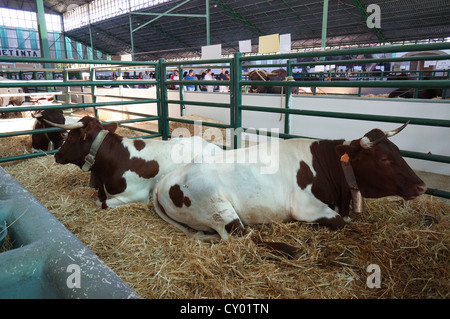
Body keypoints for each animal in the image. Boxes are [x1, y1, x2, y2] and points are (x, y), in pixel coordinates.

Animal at [154, 122, 426, 258]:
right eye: (384, 159)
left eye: (398, 152)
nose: (421, 185)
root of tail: (164, 182)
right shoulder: (306, 207)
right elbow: (338, 222)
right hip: (219, 209)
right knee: (242, 237)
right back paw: (292, 249)